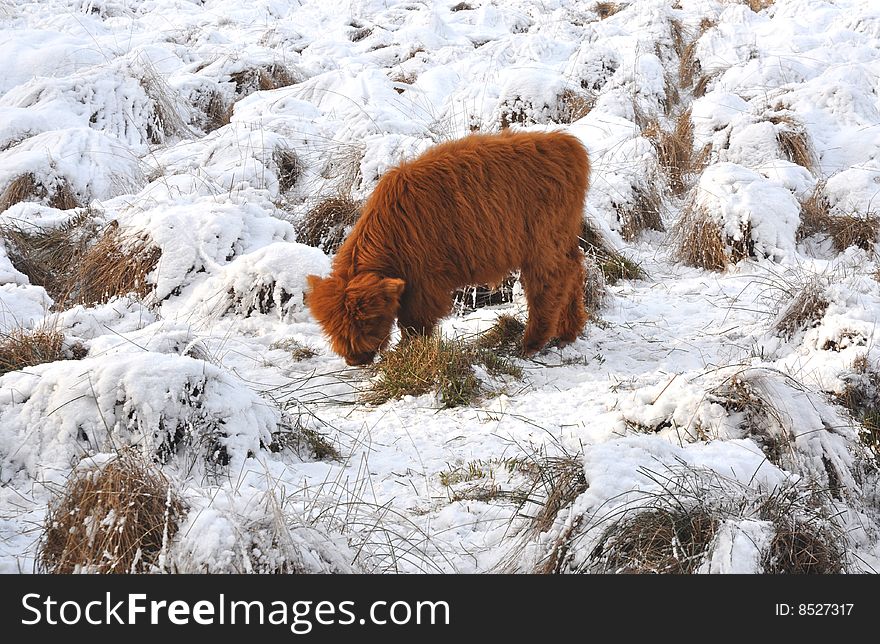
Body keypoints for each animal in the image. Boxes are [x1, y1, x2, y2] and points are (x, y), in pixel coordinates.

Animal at [306, 128, 588, 364]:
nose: (355, 359)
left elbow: (413, 323)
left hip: (544, 243)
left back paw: (532, 343)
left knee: (550, 282)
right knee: (574, 271)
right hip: (562, 238)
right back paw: (568, 331)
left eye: (367, 320)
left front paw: (408, 353)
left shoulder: (423, 283)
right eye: (332, 325)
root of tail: (567, 144)